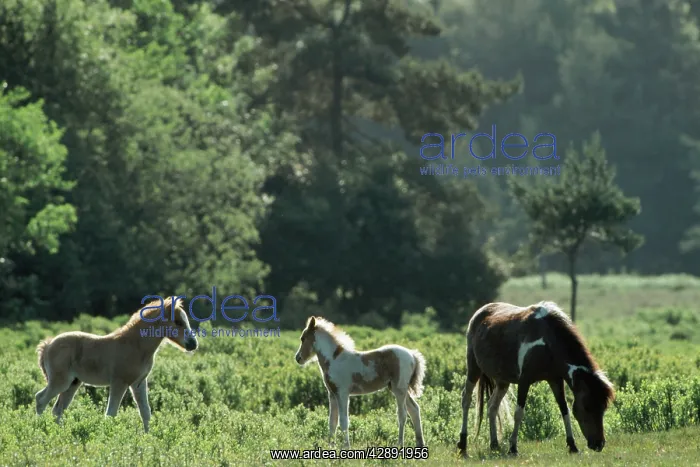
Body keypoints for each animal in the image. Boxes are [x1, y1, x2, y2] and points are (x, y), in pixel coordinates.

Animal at [35, 296, 198, 432]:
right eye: (178, 322)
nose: (193, 344)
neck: (136, 345)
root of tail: (48, 345)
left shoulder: (138, 383)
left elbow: (145, 412)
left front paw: (148, 437)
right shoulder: (119, 382)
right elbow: (111, 413)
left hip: (73, 383)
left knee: (57, 409)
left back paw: (59, 432)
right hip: (60, 381)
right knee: (41, 399)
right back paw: (41, 429)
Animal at [294, 316, 426, 449]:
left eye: (303, 338)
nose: (298, 358)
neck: (334, 359)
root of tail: (412, 355)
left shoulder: (342, 393)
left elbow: (343, 420)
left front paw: (346, 446)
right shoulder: (332, 394)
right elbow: (332, 421)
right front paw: (331, 446)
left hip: (399, 389)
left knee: (402, 414)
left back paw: (399, 444)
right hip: (399, 389)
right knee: (414, 409)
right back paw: (420, 443)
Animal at [456, 301, 615, 457]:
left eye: (603, 407)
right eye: (587, 407)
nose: (599, 444)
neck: (547, 342)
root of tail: (479, 312)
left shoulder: (555, 380)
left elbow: (564, 409)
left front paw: (572, 446)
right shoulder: (524, 381)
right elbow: (519, 413)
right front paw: (513, 448)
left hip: (503, 381)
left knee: (492, 407)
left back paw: (494, 445)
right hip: (473, 368)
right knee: (466, 399)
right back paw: (462, 445)